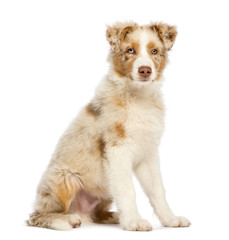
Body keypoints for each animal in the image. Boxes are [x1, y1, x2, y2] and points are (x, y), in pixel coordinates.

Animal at [27, 22, 191, 231]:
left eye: (154, 51)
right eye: (130, 50)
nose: (145, 70)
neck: (138, 97)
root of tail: (81, 211)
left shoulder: (148, 153)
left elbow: (157, 190)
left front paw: (170, 219)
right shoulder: (117, 148)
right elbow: (128, 189)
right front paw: (134, 221)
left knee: (96, 214)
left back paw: (112, 216)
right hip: (63, 179)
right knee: (37, 216)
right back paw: (66, 220)